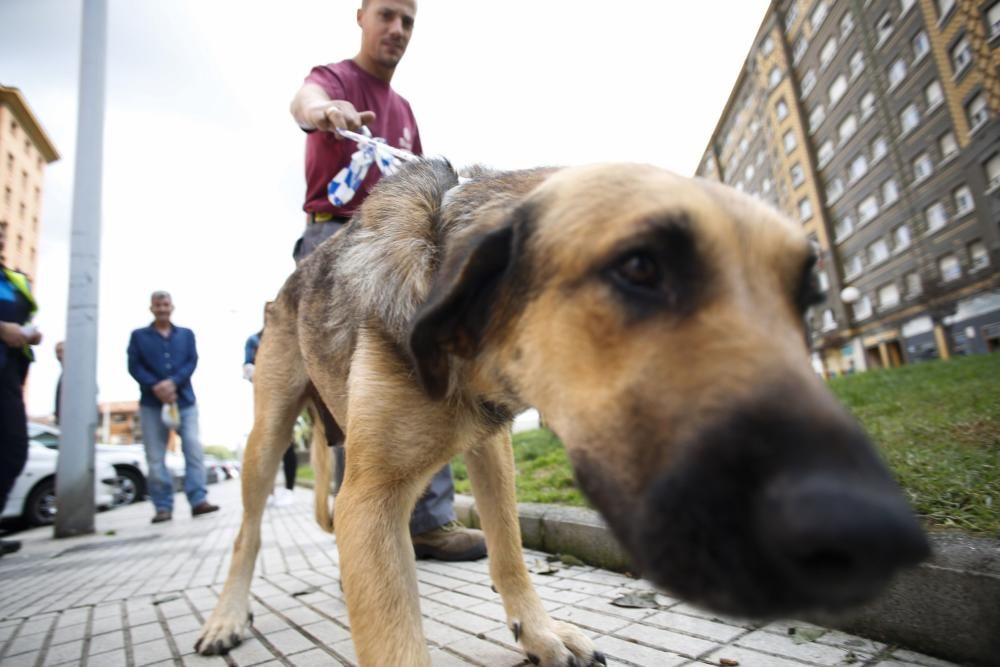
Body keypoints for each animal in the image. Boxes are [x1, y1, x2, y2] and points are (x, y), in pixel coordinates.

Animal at [195, 160, 928, 667]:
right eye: (639, 267)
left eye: (804, 297)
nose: (872, 532)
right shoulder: (369, 499)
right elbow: (395, 635)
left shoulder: (489, 445)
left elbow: (510, 552)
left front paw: (539, 632)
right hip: (268, 437)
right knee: (248, 532)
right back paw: (226, 616)